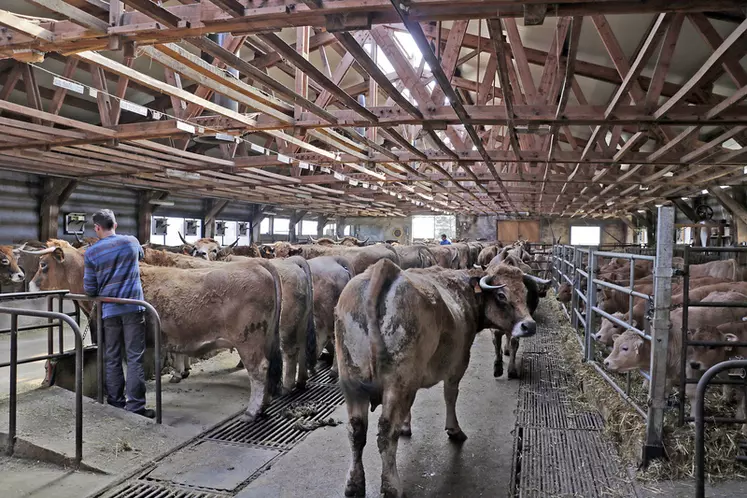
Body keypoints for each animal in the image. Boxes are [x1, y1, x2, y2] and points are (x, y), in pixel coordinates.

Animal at [25, 241, 284, 420]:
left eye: (43, 266)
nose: (29, 286)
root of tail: (257, 264)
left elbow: (121, 369)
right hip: (268, 337)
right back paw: (265, 404)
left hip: (249, 339)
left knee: (259, 370)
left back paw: (252, 411)